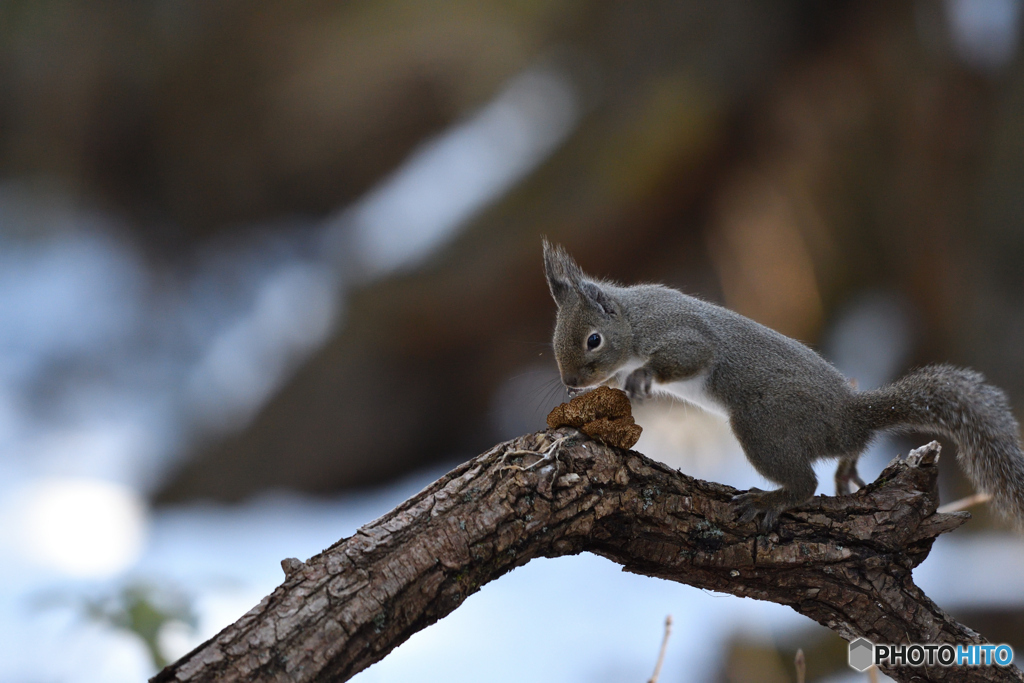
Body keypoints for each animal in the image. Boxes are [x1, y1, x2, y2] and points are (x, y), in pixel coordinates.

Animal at [548, 237, 1024, 532]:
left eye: (593, 340)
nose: (569, 381)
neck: (633, 319)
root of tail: (850, 417)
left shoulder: (680, 333)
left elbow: (692, 354)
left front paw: (642, 377)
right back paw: (846, 468)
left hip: (764, 424)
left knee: (805, 484)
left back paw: (771, 500)